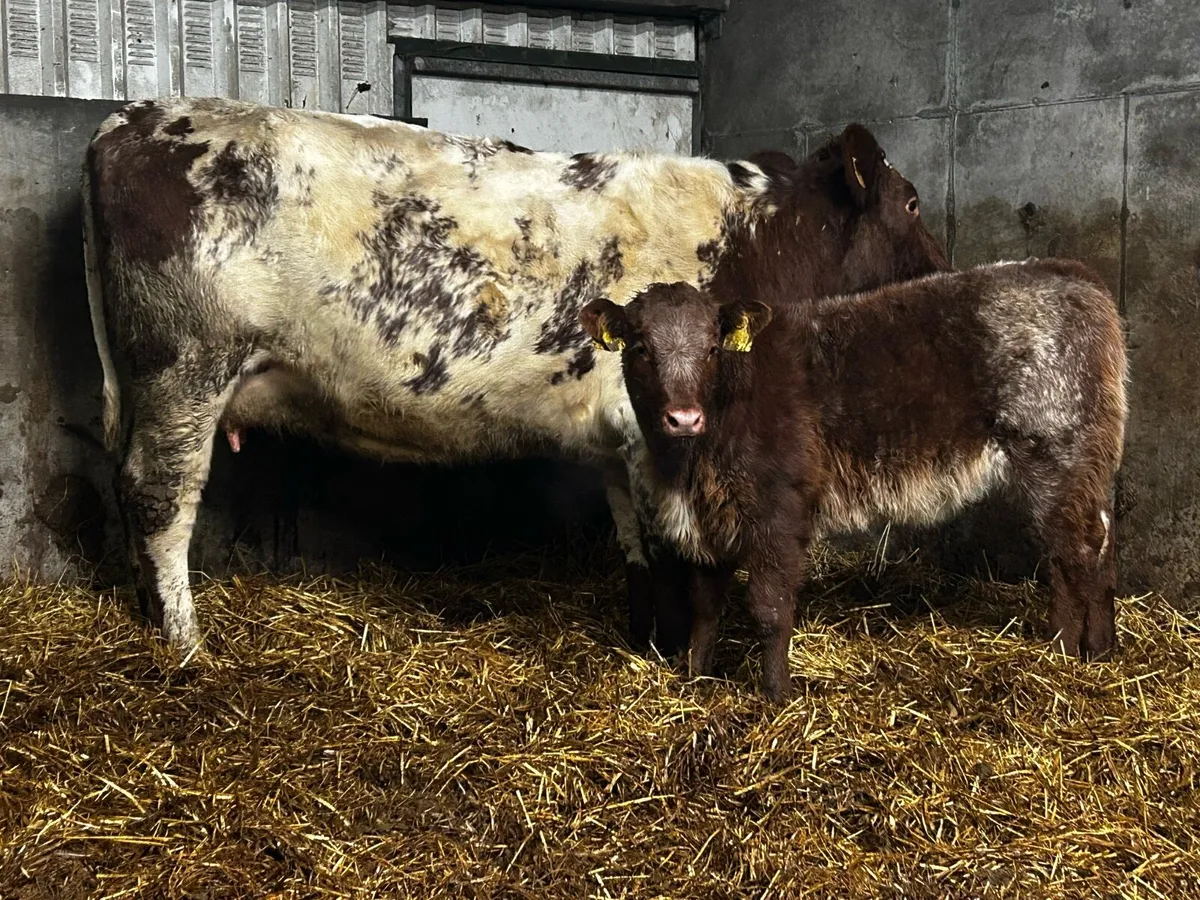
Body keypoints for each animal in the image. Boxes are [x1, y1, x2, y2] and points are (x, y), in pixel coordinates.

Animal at [82, 96, 948, 651]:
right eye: (910, 203)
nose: (944, 268)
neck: (752, 240)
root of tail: (136, 117)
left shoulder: (618, 435)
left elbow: (635, 544)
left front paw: (643, 640)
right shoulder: (657, 428)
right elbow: (672, 546)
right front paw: (678, 654)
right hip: (185, 369)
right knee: (160, 497)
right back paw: (187, 644)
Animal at [580, 262, 1127, 700]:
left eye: (713, 348)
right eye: (641, 348)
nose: (684, 418)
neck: (689, 465)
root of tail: (1078, 276)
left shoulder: (780, 513)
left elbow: (769, 608)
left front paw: (777, 696)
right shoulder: (707, 521)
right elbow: (705, 606)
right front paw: (695, 679)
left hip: (1054, 455)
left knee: (1072, 555)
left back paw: (1061, 653)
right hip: (1083, 470)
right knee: (1098, 548)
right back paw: (1100, 651)